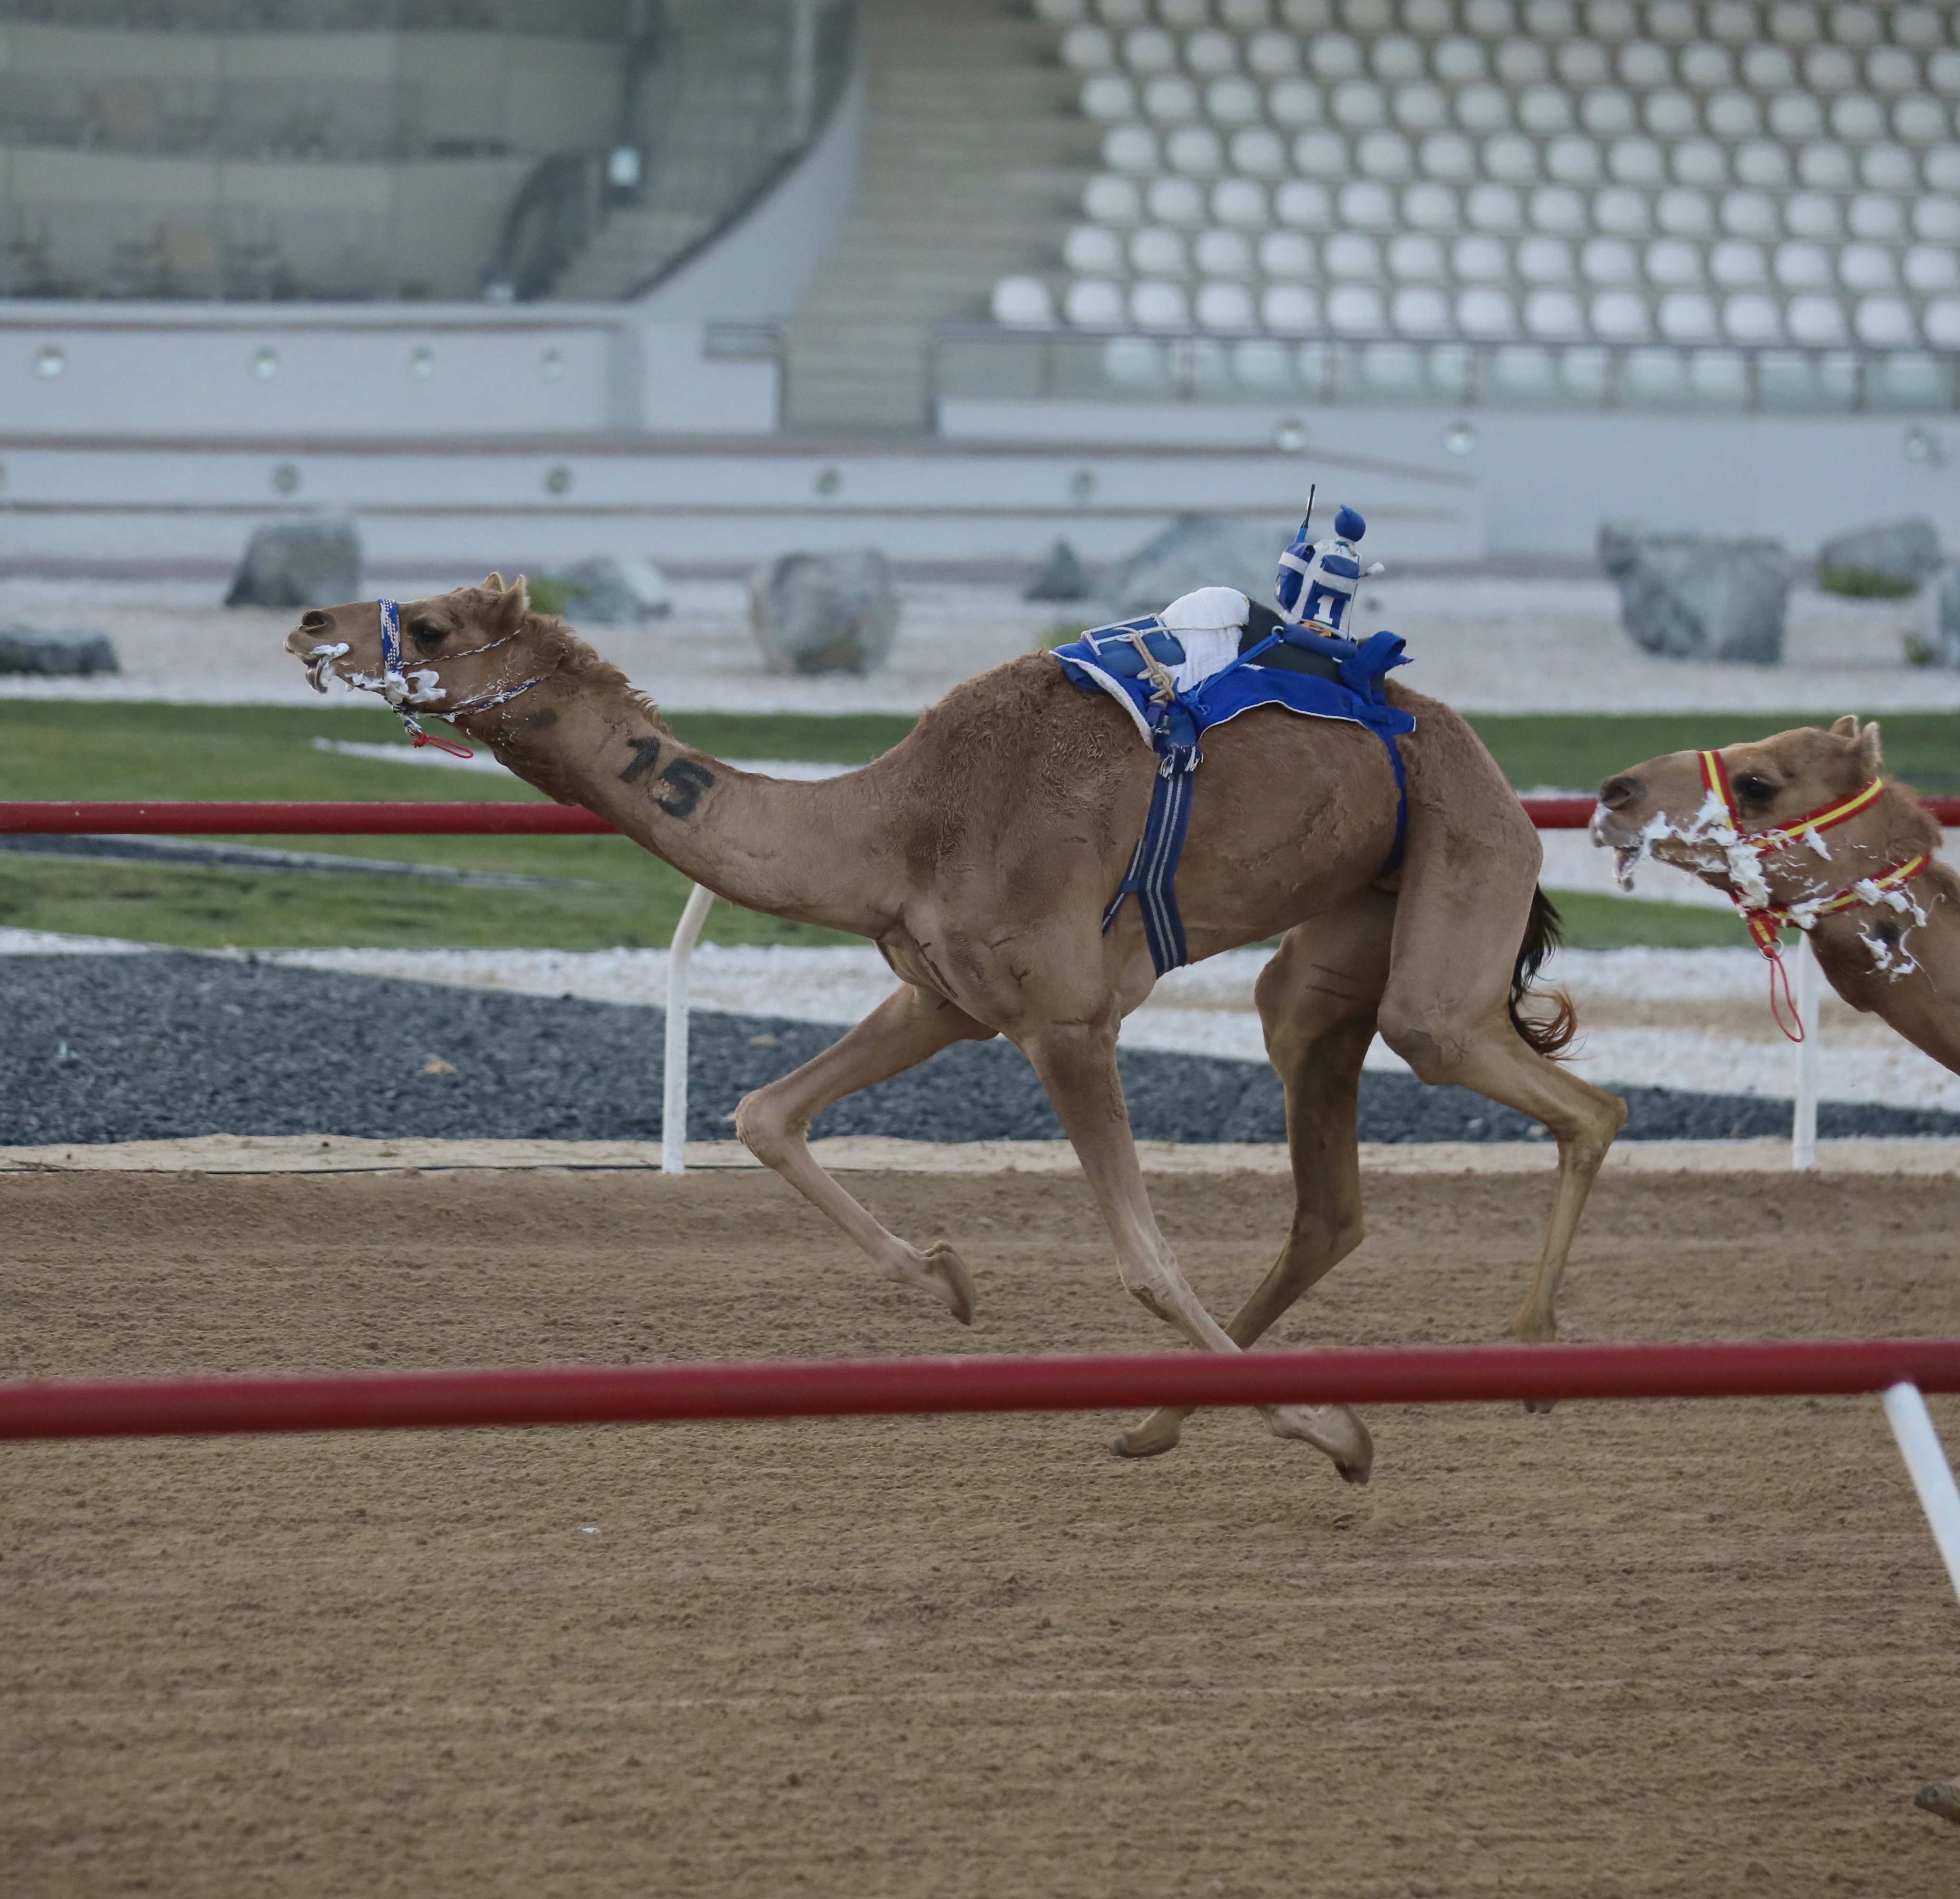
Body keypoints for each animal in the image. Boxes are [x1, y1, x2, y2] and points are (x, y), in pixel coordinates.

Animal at [286, 576, 1622, 1482]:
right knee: (1330, 1186)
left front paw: (1337, 1431)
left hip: (1457, 869)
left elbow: (1146, 1261)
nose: (306, 623)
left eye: (438, 627)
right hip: (1339, 942)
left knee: (1562, 1093)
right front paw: (944, 1275)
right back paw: (1158, 1422)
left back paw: (1529, 1357)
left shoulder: (1070, 1018)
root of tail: (1462, 739)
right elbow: (764, 1113)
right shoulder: (948, 997)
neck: (897, 824)